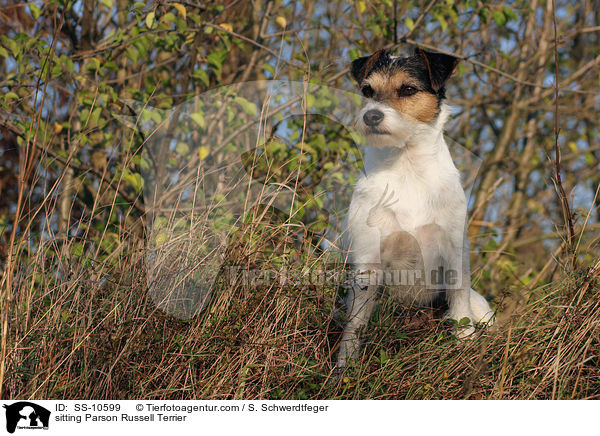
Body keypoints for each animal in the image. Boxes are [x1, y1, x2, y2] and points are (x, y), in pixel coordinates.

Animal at [338, 47, 492, 368]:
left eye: (408, 89)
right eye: (367, 90)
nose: (371, 116)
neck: (406, 165)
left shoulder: (453, 253)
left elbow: (460, 313)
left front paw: (466, 349)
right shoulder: (367, 262)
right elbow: (355, 325)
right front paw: (344, 366)